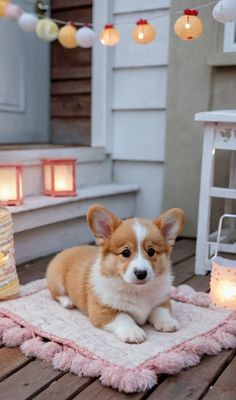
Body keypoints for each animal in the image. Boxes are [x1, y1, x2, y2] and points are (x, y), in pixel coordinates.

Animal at [46, 205, 184, 342]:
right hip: (57, 280)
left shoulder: (163, 300)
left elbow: (161, 311)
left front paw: (167, 322)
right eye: (126, 253)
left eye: (151, 251)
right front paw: (133, 332)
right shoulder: (102, 310)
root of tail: (67, 249)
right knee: (55, 294)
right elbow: (123, 317)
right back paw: (68, 301)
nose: (141, 273)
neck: (137, 291)